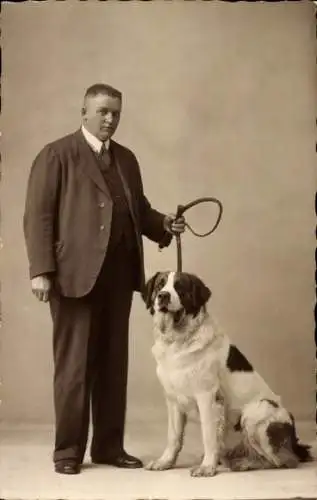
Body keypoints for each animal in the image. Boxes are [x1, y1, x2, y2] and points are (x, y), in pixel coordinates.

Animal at [141, 272, 312, 478]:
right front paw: (165, 462)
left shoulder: (207, 397)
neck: (178, 342)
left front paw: (207, 467)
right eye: (160, 285)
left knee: (283, 461)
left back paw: (242, 464)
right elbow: (173, 436)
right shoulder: (173, 400)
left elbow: (208, 435)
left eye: (180, 287)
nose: (163, 296)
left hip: (256, 411)